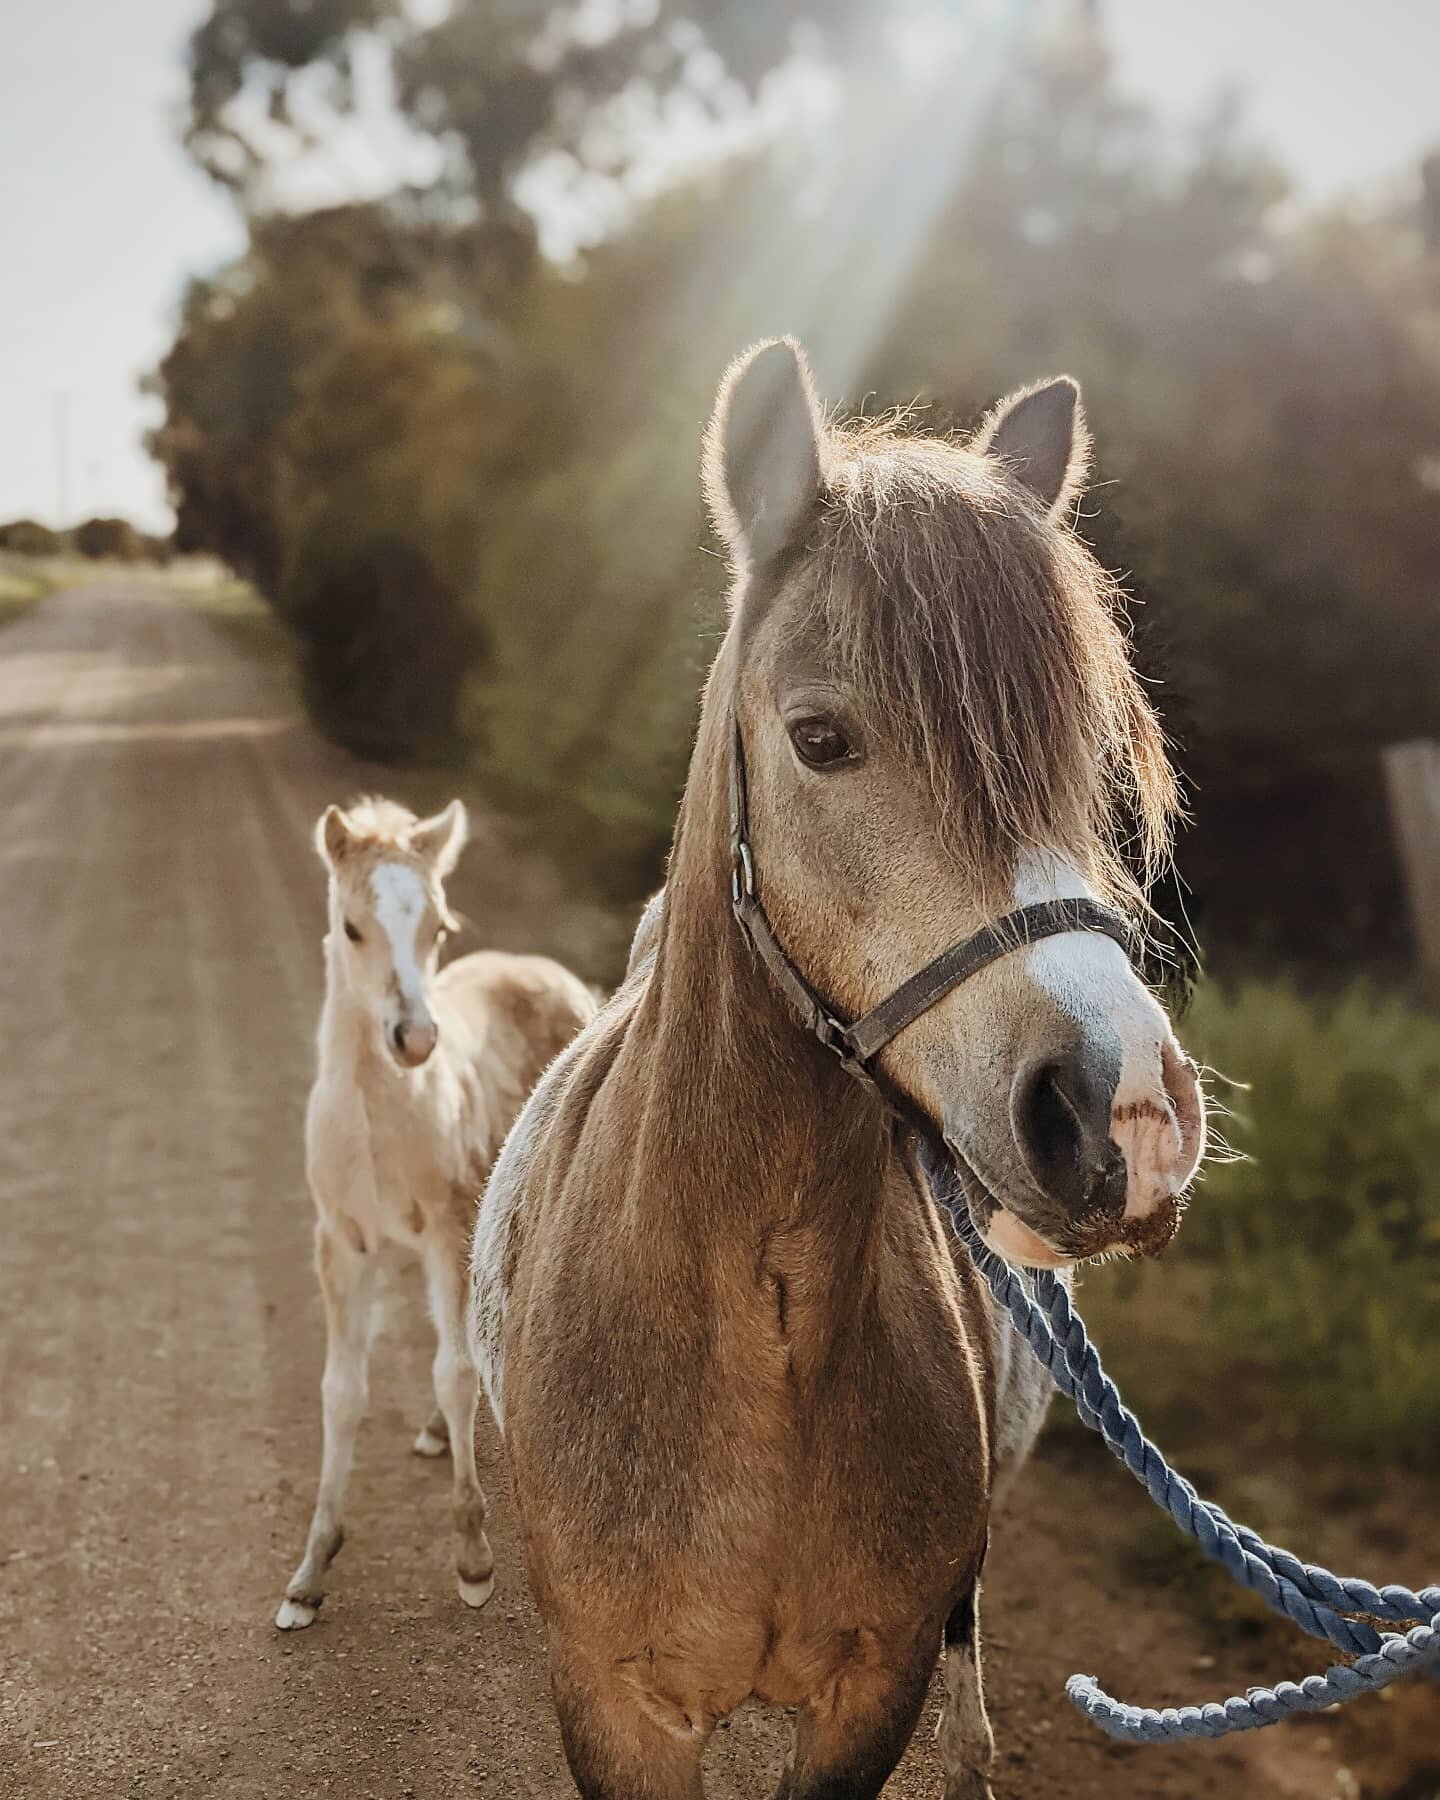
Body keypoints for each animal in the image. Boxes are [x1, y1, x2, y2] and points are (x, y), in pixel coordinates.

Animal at [275, 792, 597, 1634]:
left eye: (439, 928)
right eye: (352, 925)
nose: (415, 1039)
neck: (378, 1126)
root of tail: (546, 968)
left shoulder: (447, 1234)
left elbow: (452, 1371)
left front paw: (474, 1560)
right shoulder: (342, 1246)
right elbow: (341, 1391)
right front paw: (309, 1573)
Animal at [468, 340, 1202, 1800]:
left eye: (1088, 757)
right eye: (820, 739)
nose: (1129, 1114)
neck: (759, 1344)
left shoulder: (873, 1694)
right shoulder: (615, 1709)